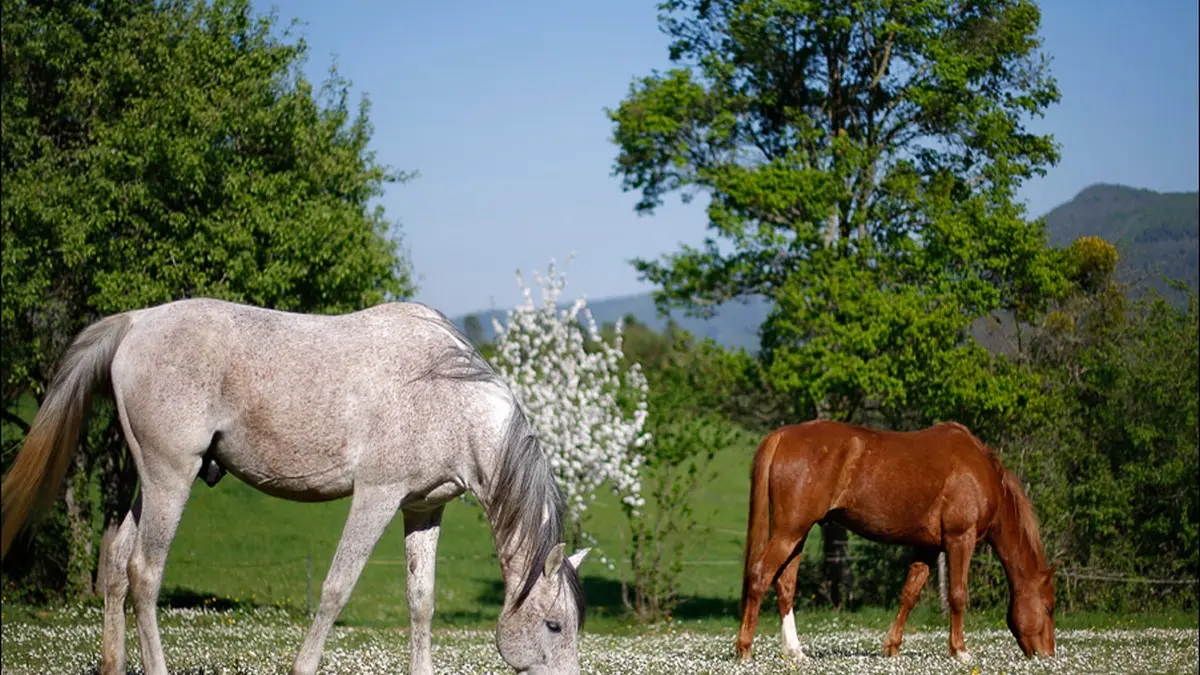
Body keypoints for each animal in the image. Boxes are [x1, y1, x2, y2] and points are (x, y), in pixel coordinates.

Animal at [0, 298, 589, 675]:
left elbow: (420, 602)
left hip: (150, 484)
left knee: (116, 560)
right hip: (170, 479)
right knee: (144, 573)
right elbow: (335, 589)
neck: (449, 397)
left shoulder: (423, 510)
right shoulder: (375, 498)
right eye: (554, 626)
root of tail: (137, 322)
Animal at [734, 420, 1056, 663]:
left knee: (785, 585)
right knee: (760, 575)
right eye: (1049, 608)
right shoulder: (959, 539)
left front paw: (892, 647)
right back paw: (745, 649)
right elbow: (957, 595)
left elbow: (909, 594)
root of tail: (783, 436)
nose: (1047, 655)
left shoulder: (928, 547)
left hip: (796, 535)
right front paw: (960, 651)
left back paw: (795, 651)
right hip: (789, 532)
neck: (978, 471)